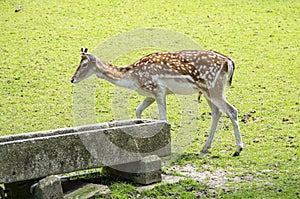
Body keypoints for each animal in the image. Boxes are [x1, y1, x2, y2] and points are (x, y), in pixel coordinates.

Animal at [71, 47, 244, 156]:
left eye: (84, 64)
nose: (72, 79)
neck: (133, 78)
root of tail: (229, 62)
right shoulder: (150, 95)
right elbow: (138, 110)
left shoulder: (157, 89)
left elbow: (163, 118)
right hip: (207, 92)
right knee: (217, 112)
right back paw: (205, 147)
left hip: (215, 89)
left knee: (232, 111)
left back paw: (237, 149)